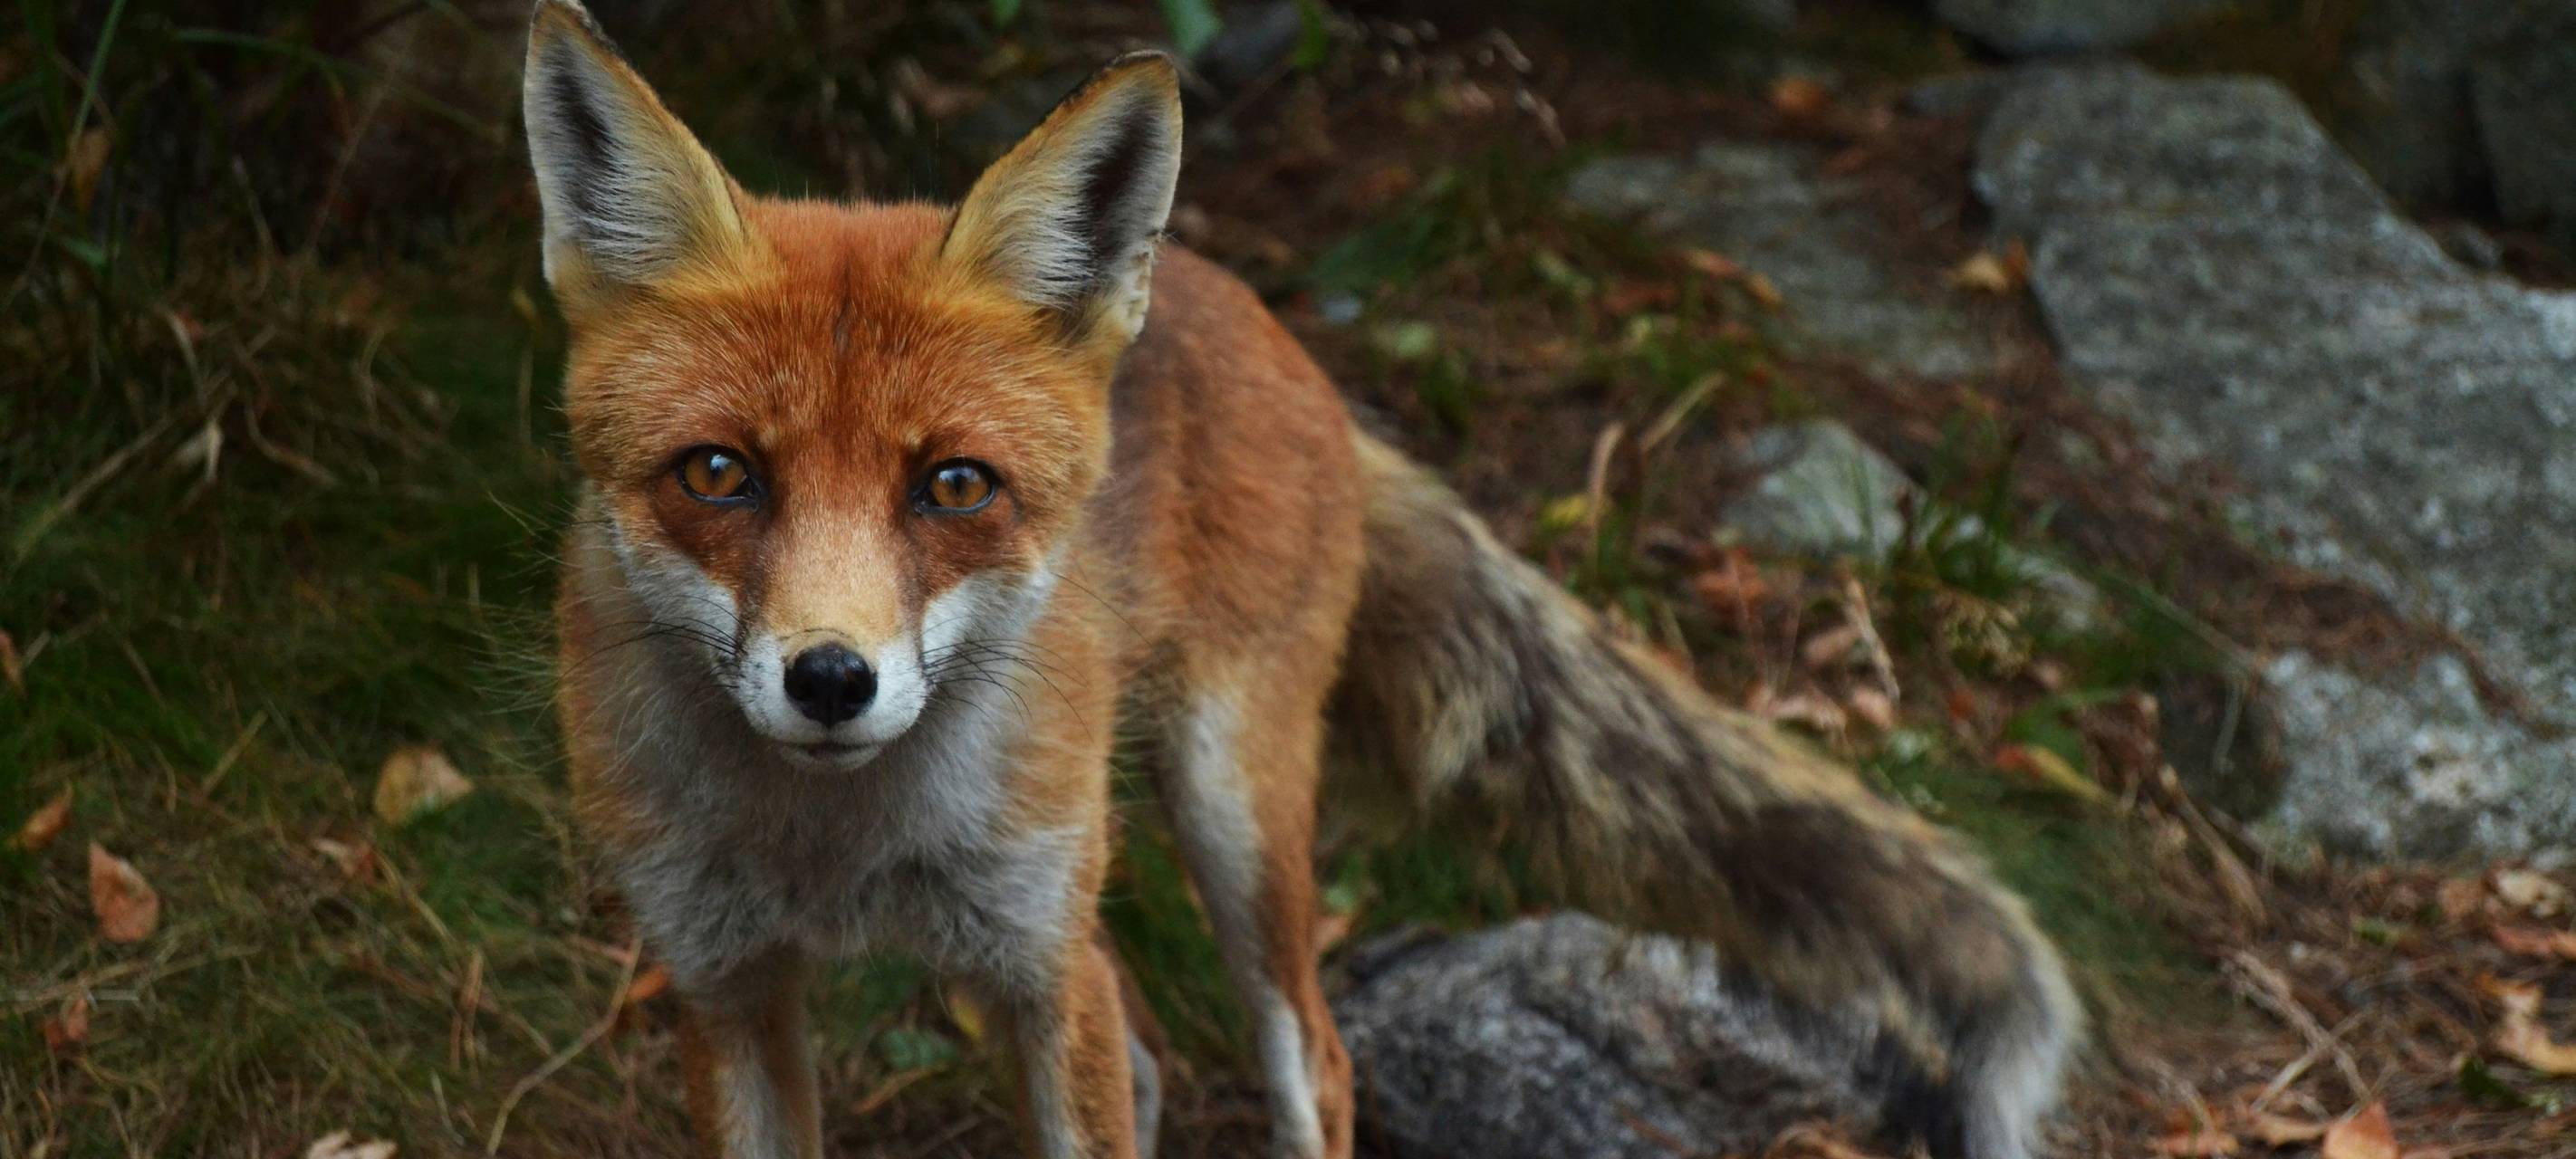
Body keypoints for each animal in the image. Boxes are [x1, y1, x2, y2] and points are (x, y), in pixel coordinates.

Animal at [524, 2, 2079, 1157]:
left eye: (954, 487)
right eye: (719, 474)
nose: (833, 681)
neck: (835, 850)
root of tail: (1266, 326)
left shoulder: (1040, 968)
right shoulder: (725, 987)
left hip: (1230, 823)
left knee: (1316, 1065)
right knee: (1156, 1055)